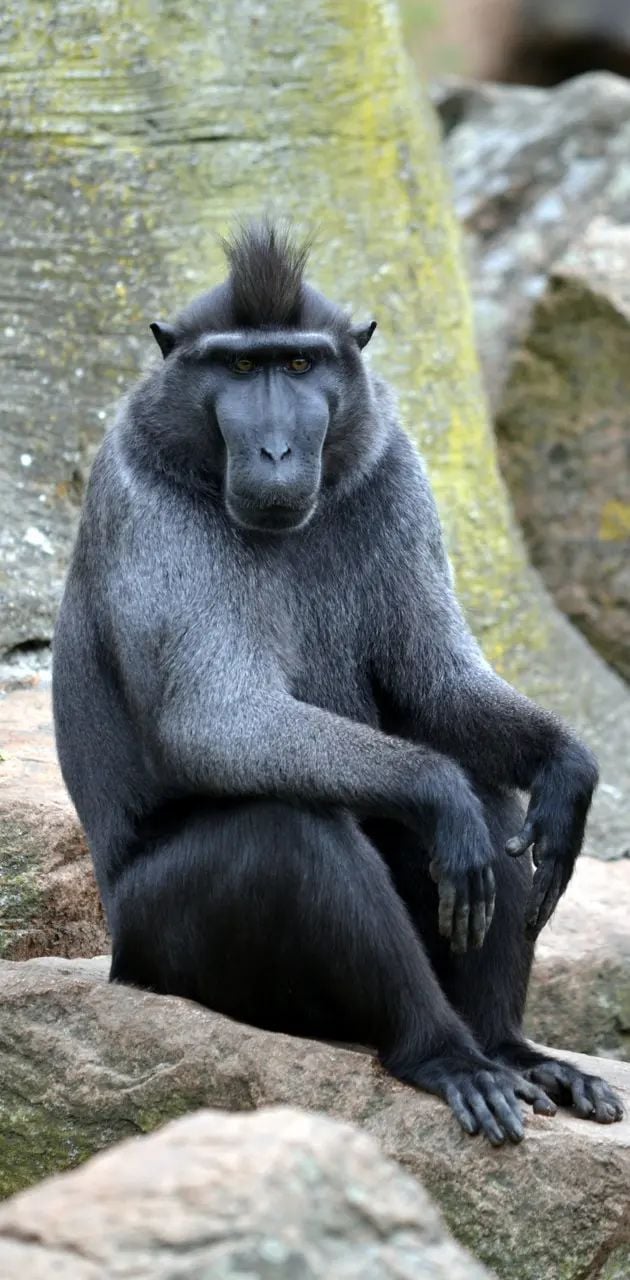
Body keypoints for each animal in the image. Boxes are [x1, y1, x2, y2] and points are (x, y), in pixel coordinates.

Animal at [52, 222, 623, 1145]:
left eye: (298, 364)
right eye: (239, 369)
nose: (278, 451)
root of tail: (117, 956)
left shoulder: (395, 471)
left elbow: (437, 689)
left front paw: (567, 771)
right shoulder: (146, 503)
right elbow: (215, 720)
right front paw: (437, 788)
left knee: (494, 800)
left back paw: (510, 1049)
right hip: (160, 946)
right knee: (295, 831)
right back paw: (443, 1053)